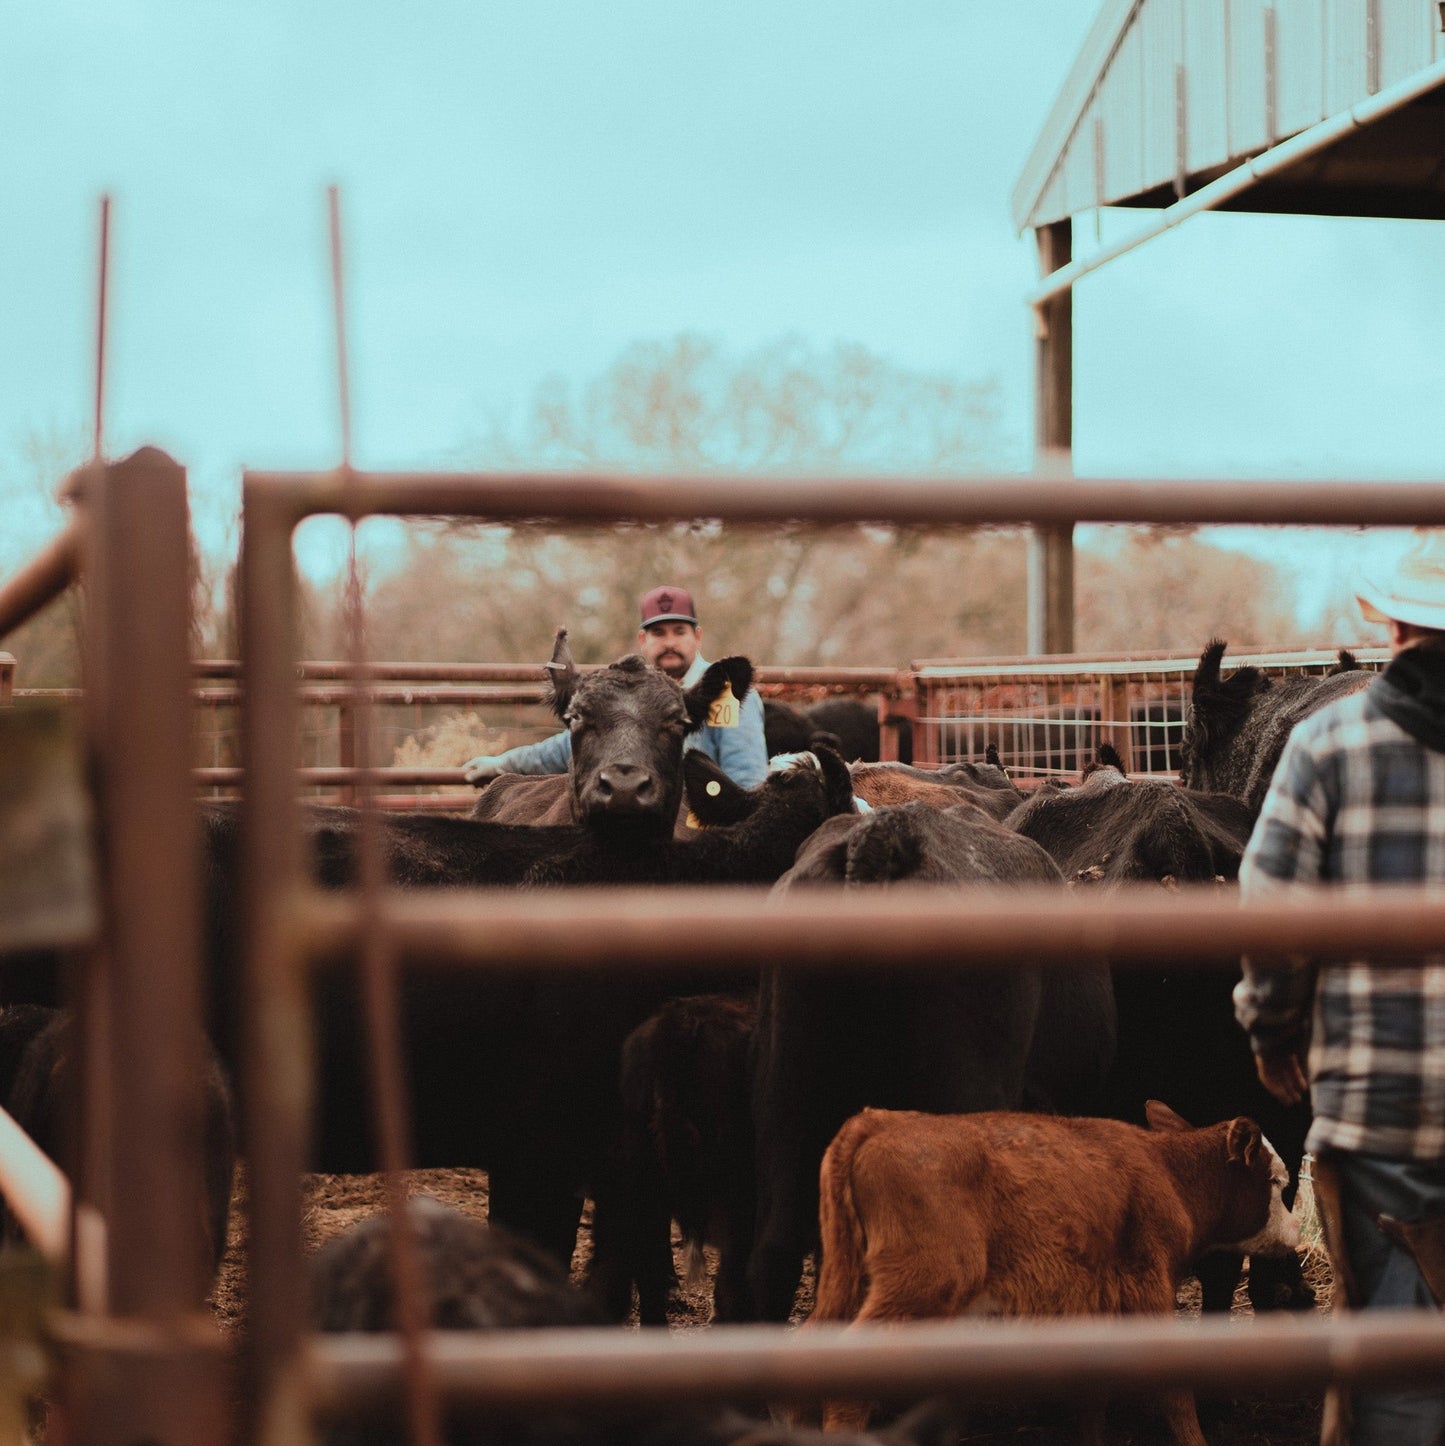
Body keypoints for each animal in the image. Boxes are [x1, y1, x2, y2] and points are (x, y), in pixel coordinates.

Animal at [815, 1098, 1301, 1440]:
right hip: (921, 1286)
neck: (1169, 1174)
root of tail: (876, 1122)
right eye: (1277, 1182)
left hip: (846, 1284)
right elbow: (1176, 1394)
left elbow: (1092, 1395)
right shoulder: (1149, 1287)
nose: (1297, 1231)